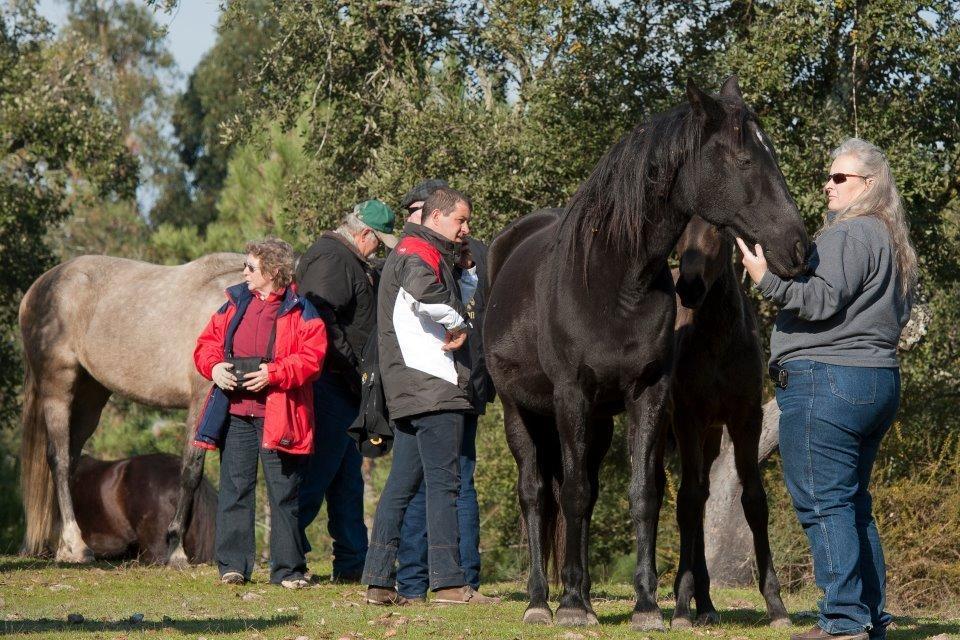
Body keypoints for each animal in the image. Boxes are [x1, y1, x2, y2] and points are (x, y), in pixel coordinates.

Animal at [672, 218, 792, 628]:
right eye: (679, 233)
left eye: (716, 232)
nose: (689, 287)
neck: (718, 341)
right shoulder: (687, 418)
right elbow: (687, 501)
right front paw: (680, 606)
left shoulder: (746, 419)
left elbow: (753, 501)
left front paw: (776, 605)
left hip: (710, 437)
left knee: (703, 495)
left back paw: (706, 603)